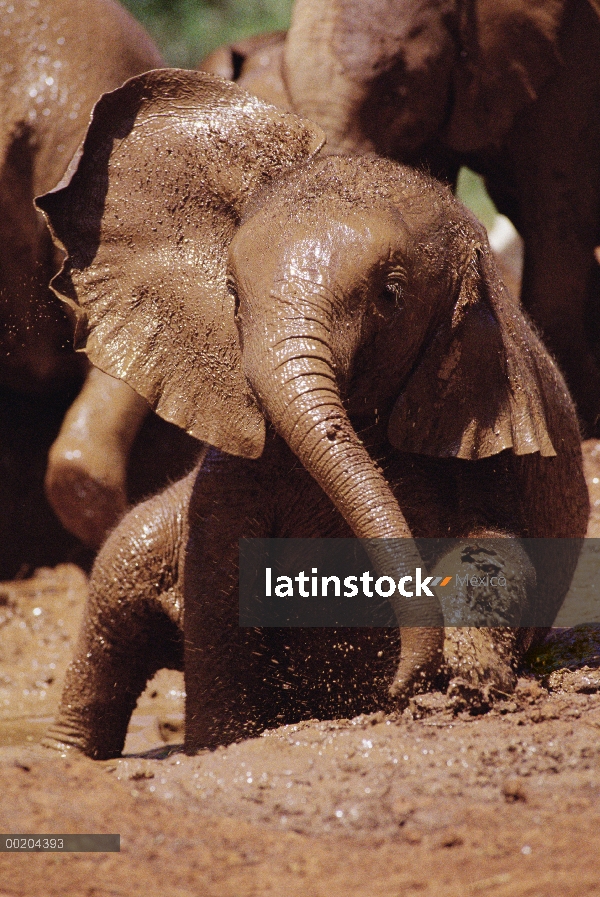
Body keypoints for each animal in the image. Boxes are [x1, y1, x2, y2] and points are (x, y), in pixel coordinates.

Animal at [38, 72, 592, 756]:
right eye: (231, 291)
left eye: (390, 295)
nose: (403, 683)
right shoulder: (226, 482)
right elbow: (218, 584)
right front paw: (221, 744)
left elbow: (495, 551)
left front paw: (464, 684)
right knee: (117, 588)